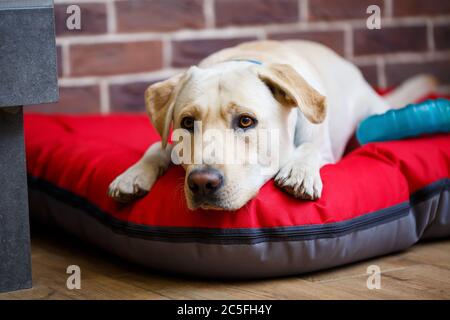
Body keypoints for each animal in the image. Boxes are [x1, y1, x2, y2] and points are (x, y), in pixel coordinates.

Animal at [109, 39, 436, 210]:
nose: (202, 182)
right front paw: (132, 175)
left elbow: (310, 149)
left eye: (246, 121)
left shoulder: (324, 147)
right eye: (187, 123)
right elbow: (156, 146)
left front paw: (299, 171)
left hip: (370, 113)